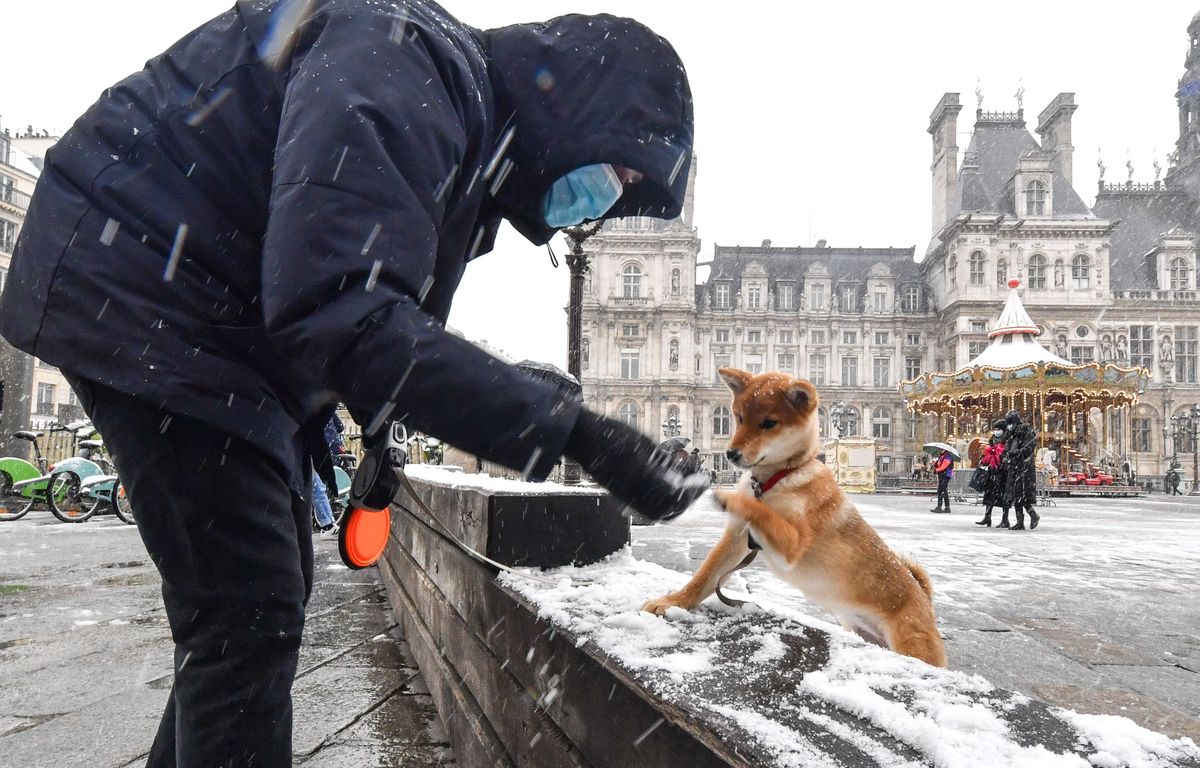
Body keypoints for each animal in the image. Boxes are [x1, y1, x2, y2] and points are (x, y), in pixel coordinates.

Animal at [643, 369, 950, 667]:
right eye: (738, 417)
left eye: (769, 423)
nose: (730, 454)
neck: (777, 478)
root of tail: (924, 597)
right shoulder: (738, 538)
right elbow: (705, 576)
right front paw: (673, 602)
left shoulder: (793, 545)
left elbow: (762, 511)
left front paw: (728, 495)